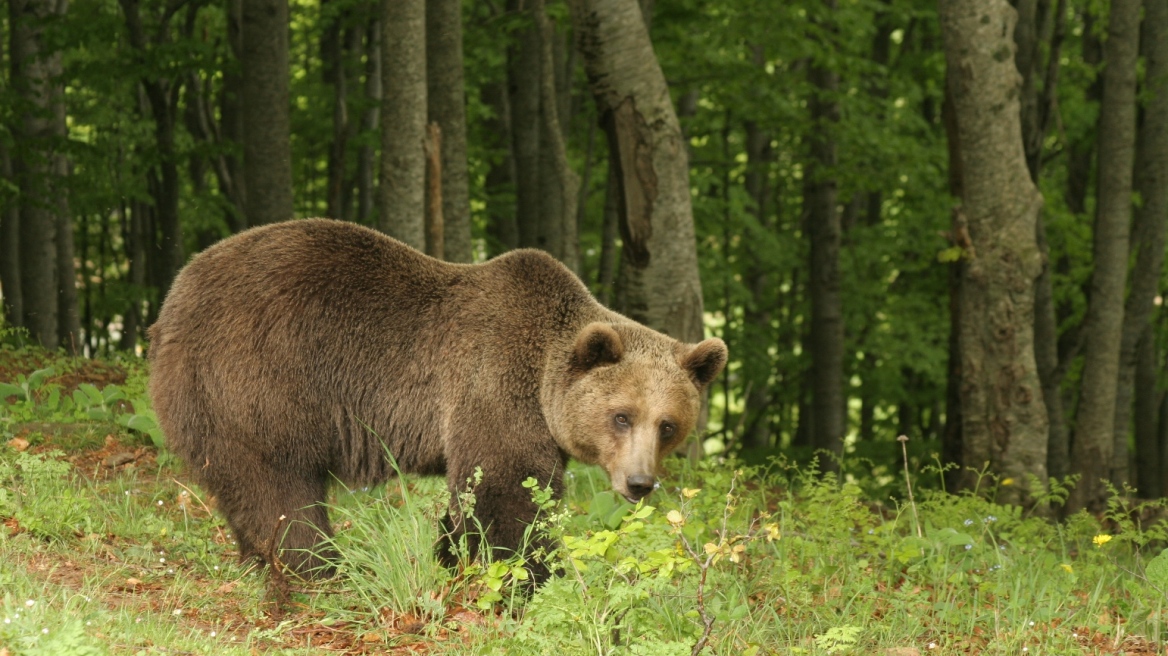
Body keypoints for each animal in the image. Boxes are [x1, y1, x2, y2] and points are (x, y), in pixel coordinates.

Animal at [149, 218, 724, 576]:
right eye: (622, 416)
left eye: (668, 424)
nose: (640, 483)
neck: (543, 378)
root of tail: (174, 298)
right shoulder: (493, 382)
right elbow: (505, 492)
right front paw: (529, 571)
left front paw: (450, 553)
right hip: (261, 380)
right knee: (279, 485)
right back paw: (320, 564)